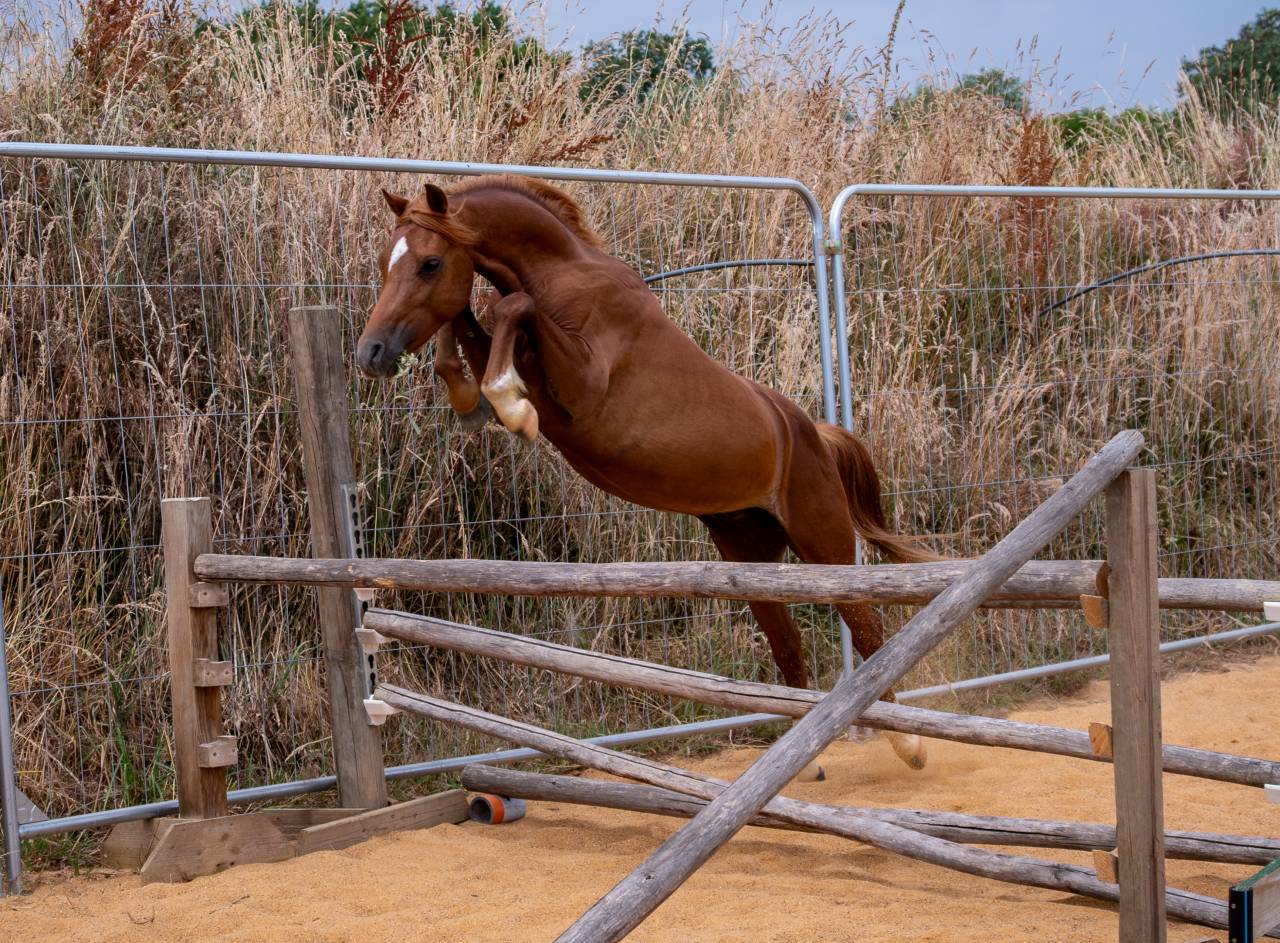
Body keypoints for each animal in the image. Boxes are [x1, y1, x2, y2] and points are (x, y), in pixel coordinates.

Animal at [356, 175, 936, 770]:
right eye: (385, 261)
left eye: (429, 264)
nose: (371, 352)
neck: (561, 275)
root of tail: (815, 432)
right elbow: (474, 321)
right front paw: (467, 395)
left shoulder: (583, 386)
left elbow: (510, 310)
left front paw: (511, 408)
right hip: (749, 552)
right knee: (788, 646)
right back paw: (804, 758)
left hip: (823, 541)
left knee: (866, 625)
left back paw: (909, 744)